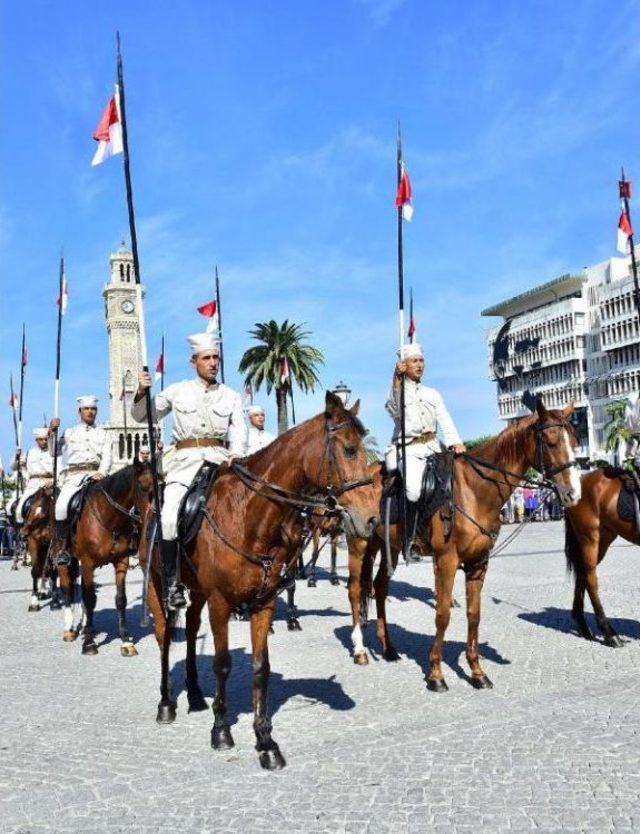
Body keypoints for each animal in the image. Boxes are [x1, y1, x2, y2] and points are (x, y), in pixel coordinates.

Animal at [56, 458, 154, 652]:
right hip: (64, 560)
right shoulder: (87, 562)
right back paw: (69, 629)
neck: (109, 518)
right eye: (143, 485)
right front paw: (88, 643)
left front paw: (126, 640)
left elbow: (120, 599)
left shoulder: (121, 562)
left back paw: (88, 626)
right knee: (67, 588)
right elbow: (89, 598)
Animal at [141, 394, 380, 772]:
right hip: (157, 586)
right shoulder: (221, 603)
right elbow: (222, 663)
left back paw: (194, 694)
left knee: (190, 633)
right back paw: (167, 702)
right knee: (165, 636)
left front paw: (265, 740)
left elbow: (259, 667)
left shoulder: (262, 602)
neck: (249, 514)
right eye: (350, 449)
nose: (371, 519)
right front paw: (221, 729)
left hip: (197, 593)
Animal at [344, 400, 584, 684]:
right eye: (550, 441)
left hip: (388, 546)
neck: (475, 491)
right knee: (355, 590)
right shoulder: (446, 561)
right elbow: (442, 614)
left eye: (574, 439)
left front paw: (476, 671)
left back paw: (389, 648)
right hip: (358, 544)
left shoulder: (478, 563)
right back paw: (360, 650)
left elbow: (474, 615)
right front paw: (436, 673)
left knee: (379, 587)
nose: (574, 493)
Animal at [564, 468, 636, 644]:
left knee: (582, 573)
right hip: (589, 536)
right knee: (591, 579)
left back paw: (583, 626)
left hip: (604, 537)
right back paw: (610, 634)